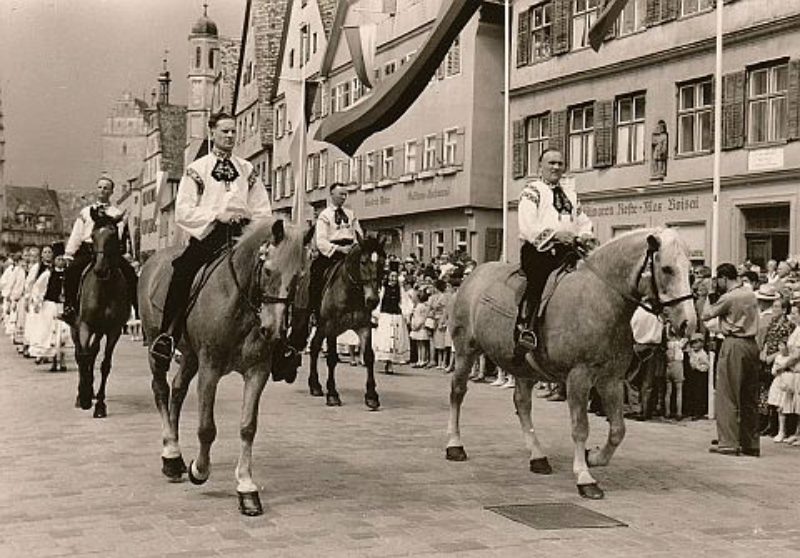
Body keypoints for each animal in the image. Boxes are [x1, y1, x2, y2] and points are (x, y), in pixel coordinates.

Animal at [72, 208, 130, 418]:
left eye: (113, 235)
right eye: (93, 235)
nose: (100, 269)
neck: (105, 289)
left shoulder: (113, 330)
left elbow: (105, 364)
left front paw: (99, 405)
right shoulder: (85, 325)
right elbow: (83, 356)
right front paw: (84, 397)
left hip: (101, 330)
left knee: (94, 351)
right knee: (82, 353)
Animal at [138, 220, 312, 520]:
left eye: (299, 277)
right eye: (268, 270)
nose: (273, 331)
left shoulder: (257, 372)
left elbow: (248, 427)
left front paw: (246, 488)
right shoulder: (210, 368)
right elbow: (207, 428)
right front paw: (199, 470)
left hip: (190, 356)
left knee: (178, 390)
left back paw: (176, 456)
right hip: (156, 346)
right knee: (160, 389)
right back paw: (171, 455)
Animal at [288, 236, 388, 412]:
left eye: (382, 263)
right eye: (363, 262)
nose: (373, 300)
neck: (351, 291)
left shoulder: (364, 327)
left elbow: (369, 357)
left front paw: (371, 396)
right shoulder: (332, 327)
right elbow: (332, 358)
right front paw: (333, 394)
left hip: (321, 327)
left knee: (314, 347)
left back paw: (315, 385)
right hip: (307, 320)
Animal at [446, 230, 696, 500]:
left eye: (691, 270)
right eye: (667, 269)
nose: (688, 323)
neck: (599, 298)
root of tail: (474, 274)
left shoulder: (611, 380)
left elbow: (618, 430)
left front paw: (594, 457)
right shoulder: (579, 377)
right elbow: (580, 427)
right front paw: (585, 477)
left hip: (523, 367)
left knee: (522, 404)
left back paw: (538, 457)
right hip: (465, 351)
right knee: (458, 392)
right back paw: (454, 446)